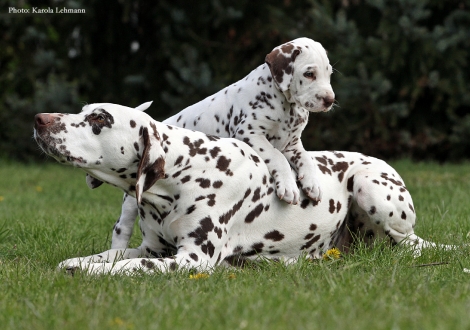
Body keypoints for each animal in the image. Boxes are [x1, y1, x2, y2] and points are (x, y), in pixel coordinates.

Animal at [33, 104, 444, 276]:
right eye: (84, 109)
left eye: (99, 118)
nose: (40, 119)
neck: (182, 173)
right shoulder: (152, 247)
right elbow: (110, 254)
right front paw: (80, 262)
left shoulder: (191, 259)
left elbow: (132, 265)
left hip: (369, 188)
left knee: (405, 247)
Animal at [97, 37, 336, 249]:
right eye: (309, 74)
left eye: (329, 74)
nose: (330, 100)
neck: (285, 104)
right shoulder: (250, 134)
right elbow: (277, 157)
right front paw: (288, 186)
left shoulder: (292, 144)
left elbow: (306, 159)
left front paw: (312, 183)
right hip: (131, 201)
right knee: (121, 228)